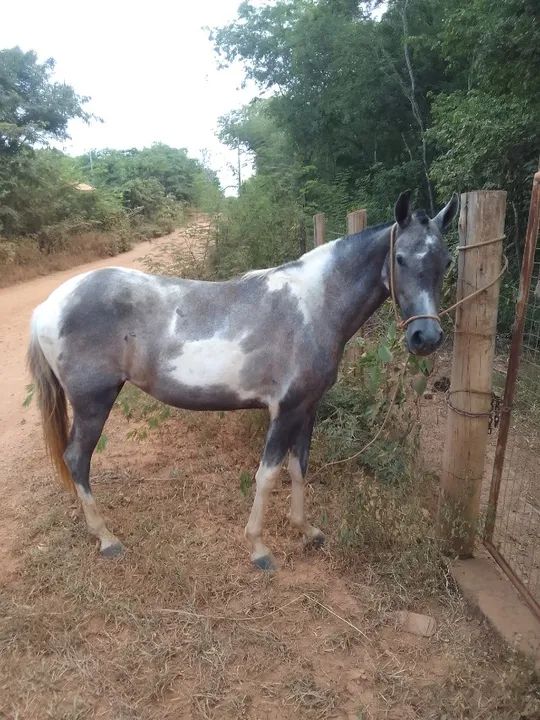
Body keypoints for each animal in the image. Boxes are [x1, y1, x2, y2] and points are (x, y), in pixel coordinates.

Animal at [28, 189, 458, 570]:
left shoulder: (307, 408)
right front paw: (259, 548)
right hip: (92, 403)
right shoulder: (284, 410)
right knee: (77, 459)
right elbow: (267, 475)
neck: (313, 305)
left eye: (445, 261)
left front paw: (307, 531)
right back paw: (107, 539)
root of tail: (49, 306)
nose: (426, 338)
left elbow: (299, 467)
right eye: (400, 258)